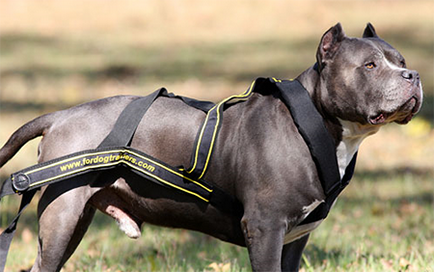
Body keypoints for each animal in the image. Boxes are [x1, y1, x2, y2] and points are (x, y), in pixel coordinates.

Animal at [0, 23, 422, 272]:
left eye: (400, 60)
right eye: (370, 66)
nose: (413, 75)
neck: (313, 124)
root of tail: (60, 116)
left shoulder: (295, 239)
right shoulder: (266, 229)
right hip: (62, 218)